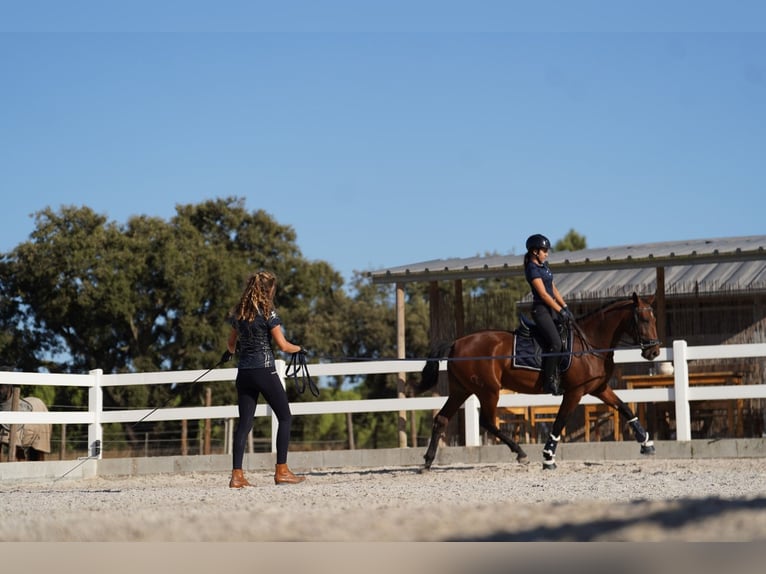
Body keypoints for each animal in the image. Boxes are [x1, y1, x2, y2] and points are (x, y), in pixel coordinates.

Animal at [412, 294, 664, 470]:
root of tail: (457, 343)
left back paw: (427, 462)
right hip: (488, 391)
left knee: (441, 419)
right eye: (643, 319)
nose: (653, 352)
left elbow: (624, 407)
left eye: (654, 318)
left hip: (461, 390)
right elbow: (560, 421)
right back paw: (520, 453)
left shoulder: (599, 388)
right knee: (487, 421)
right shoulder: (574, 392)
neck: (590, 343)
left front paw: (646, 443)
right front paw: (548, 458)